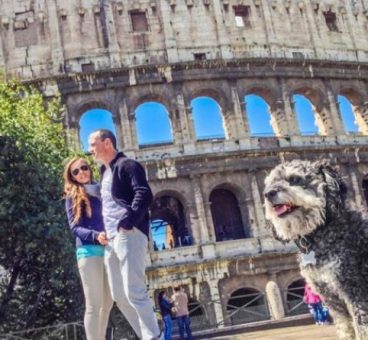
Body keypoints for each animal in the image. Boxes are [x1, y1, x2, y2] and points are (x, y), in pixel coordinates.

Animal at [264, 160, 368, 340]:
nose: (268, 193)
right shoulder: (331, 298)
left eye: (294, 179)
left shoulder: (355, 290)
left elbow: (362, 328)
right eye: (270, 183)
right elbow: (345, 328)